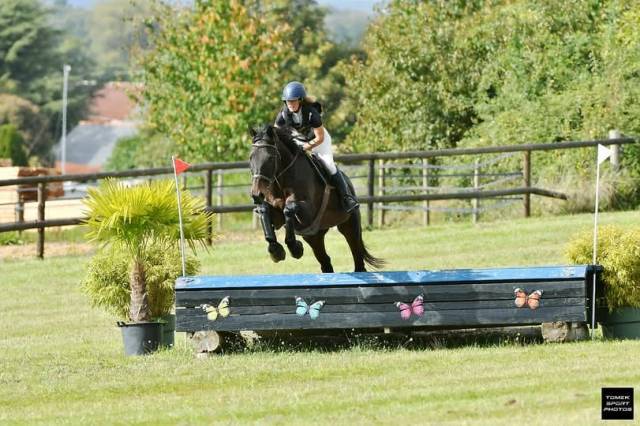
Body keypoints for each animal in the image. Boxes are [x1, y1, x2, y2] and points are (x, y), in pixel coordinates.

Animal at [249, 124, 384, 273]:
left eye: (270, 158)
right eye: (250, 158)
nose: (256, 194)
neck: (282, 181)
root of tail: (348, 182)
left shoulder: (308, 213)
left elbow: (289, 209)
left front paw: (295, 248)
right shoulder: (278, 215)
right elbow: (265, 210)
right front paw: (276, 250)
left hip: (349, 225)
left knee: (358, 258)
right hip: (314, 237)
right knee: (326, 262)